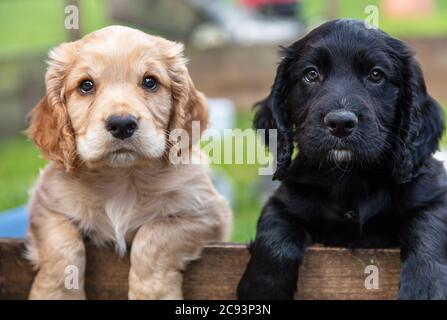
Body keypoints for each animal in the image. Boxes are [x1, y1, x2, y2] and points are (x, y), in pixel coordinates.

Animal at [26, 25, 233, 300]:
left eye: (150, 81)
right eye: (86, 85)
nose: (122, 124)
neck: (121, 176)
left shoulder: (205, 212)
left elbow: (153, 238)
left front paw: (151, 293)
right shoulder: (45, 206)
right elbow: (61, 247)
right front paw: (55, 294)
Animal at [240, 19, 447, 300]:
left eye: (376, 75)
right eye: (311, 74)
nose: (340, 123)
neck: (350, 175)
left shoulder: (435, 196)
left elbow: (427, 224)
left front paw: (425, 289)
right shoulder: (285, 200)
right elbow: (273, 232)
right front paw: (261, 288)